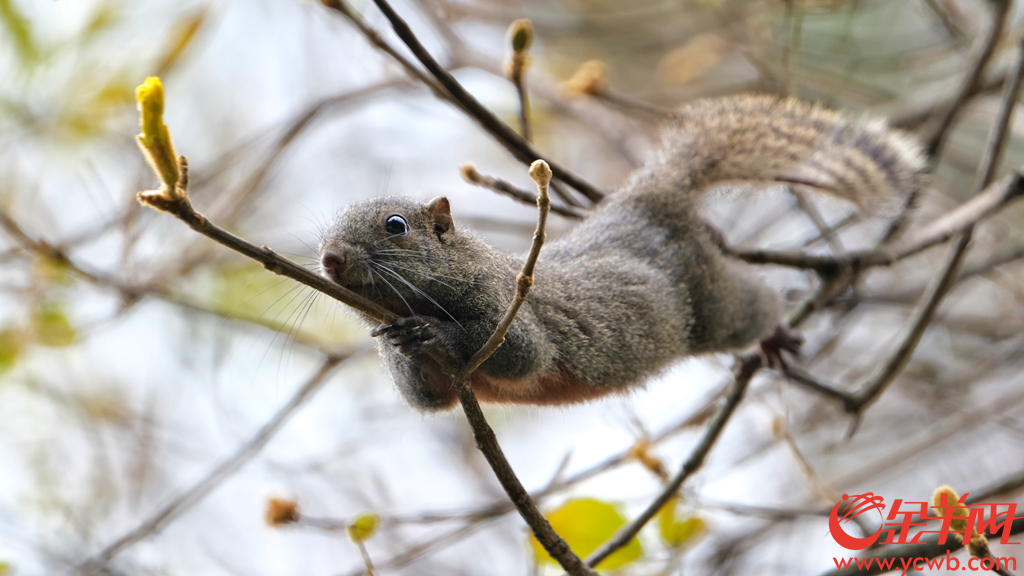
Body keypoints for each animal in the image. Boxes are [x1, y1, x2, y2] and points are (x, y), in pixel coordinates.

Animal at [318, 94, 926, 412]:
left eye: (396, 226)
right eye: (326, 231)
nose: (329, 260)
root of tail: (646, 202)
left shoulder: (505, 305)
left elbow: (523, 355)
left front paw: (431, 333)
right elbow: (428, 399)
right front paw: (401, 341)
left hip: (712, 304)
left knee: (753, 305)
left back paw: (773, 332)